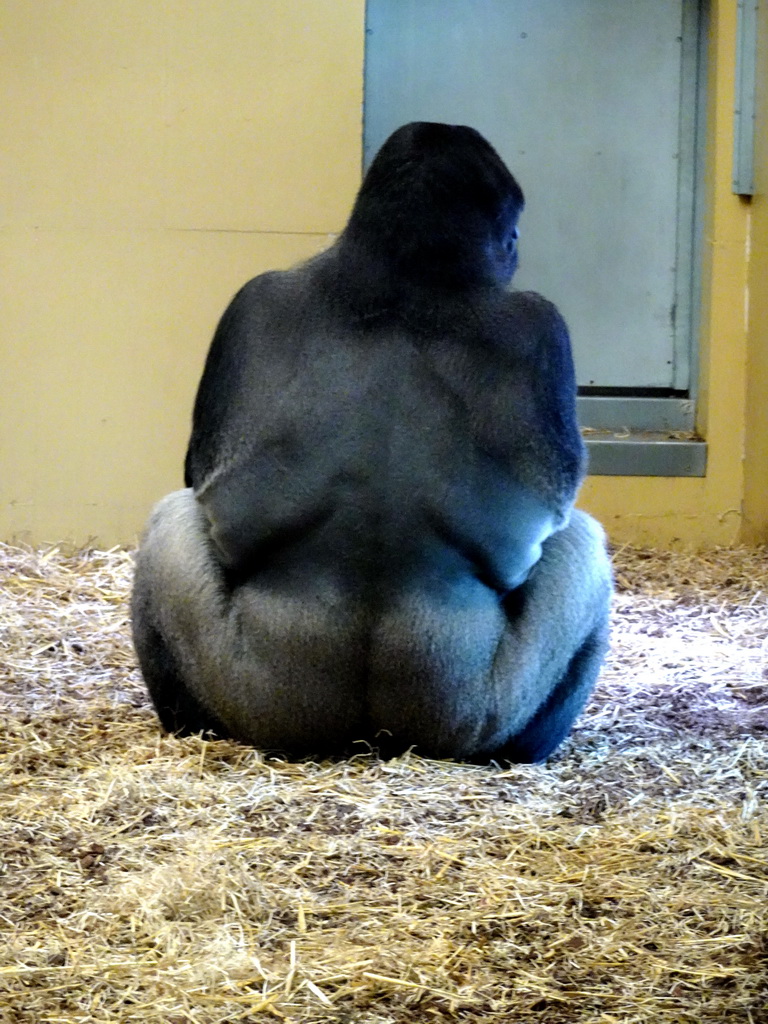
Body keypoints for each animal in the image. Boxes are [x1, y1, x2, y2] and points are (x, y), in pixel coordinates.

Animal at [132, 121, 614, 761]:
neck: (400, 271)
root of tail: (370, 741)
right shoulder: (542, 324)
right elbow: (537, 525)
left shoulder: (254, 298)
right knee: (584, 543)